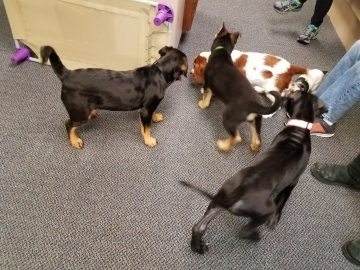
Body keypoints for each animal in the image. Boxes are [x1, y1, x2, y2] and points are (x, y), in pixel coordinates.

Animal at [41, 45, 188, 149]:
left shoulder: (146, 108)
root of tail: (66, 75)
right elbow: (147, 129)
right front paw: (149, 141)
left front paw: (156, 117)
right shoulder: (146, 110)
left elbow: (148, 119)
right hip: (80, 113)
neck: (160, 72)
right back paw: (74, 141)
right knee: (68, 124)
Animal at [181, 88, 324, 253]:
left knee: (199, 226)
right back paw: (255, 236)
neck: (299, 128)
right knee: (243, 231)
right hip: (262, 211)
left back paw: (197, 247)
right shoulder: (293, 182)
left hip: (219, 199)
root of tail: (240, 190)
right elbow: (283, 200)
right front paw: (275, 219)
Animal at [200, 23, 282, 152]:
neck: (222, 51)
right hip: (255, 120)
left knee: (236, 138)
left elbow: (206, 96)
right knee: (258, 139)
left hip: (228, 118)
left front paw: (202, 104)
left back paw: (223, 145)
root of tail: (255, 104)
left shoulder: (207, 84)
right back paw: (254, 146)